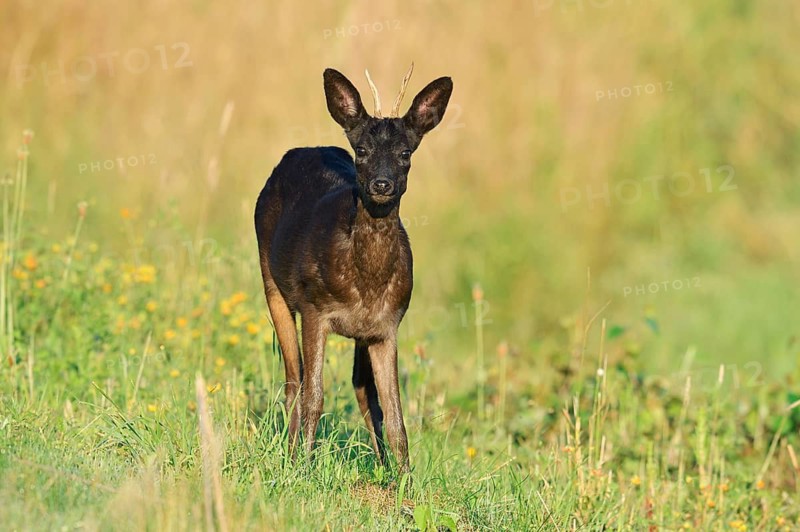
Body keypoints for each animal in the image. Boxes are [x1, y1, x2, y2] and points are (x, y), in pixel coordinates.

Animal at [254, 64, 452, 473]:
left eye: (405, 152)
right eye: (361, 150)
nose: (382, 183)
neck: (366, 282)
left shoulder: (387, 325)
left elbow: (394, 413)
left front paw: (404, 478)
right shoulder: (315, 309)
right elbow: (315, 394)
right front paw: (304, 467)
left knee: (362, 389)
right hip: (271, 283)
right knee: (293, 379)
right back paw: (291, 454)